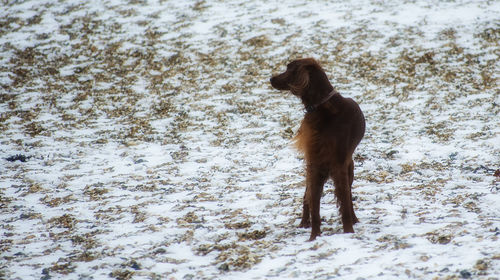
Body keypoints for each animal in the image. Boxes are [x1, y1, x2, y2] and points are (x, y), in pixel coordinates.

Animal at [272, 57, 366, 241]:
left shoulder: (339, 165)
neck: (322, 108)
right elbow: (314, 203)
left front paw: (348, 231)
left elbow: (345, 201)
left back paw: (354, 219)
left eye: (289, 68)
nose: (271, 79)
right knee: (307, 196)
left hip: (348, 168)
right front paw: (314, 236)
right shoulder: (314, 164)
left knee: (348, 195)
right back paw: (304, 222)